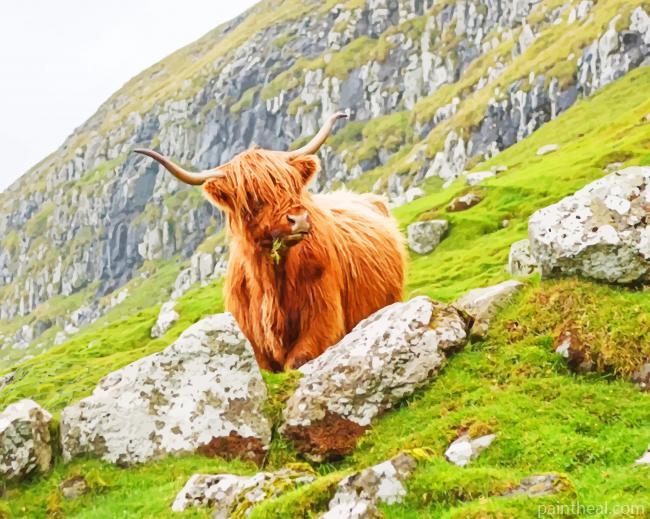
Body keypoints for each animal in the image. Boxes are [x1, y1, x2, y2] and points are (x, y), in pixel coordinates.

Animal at [135, 112, 406, 371]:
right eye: (252, 196)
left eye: (293, 185)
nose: (299, 219)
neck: (271, 285)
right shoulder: (252, 341)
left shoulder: (323, 321)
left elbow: (298, 360)